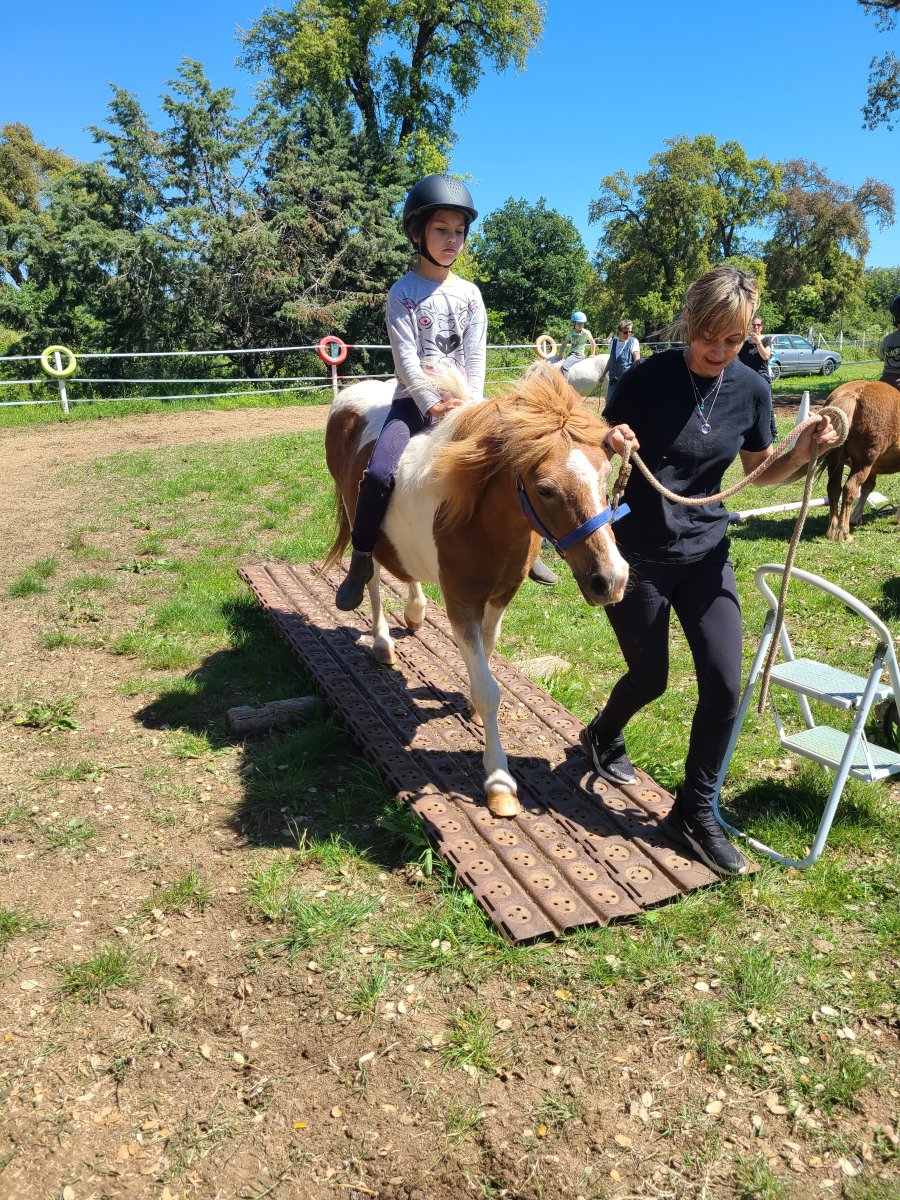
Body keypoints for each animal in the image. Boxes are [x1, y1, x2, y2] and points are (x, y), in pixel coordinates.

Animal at [324, 369, 630, 819]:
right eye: (545, 489)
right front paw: (499, 781)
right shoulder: (461, 604)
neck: (481, 516)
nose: (611, 580)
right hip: (360, 515)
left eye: (606, 474)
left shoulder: (500, 597)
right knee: (374, 579)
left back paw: (415, 612)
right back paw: (381, 641)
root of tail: (348, 395)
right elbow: (489, 692)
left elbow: (487, 655)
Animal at [816, 380, 900, 541]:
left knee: (834, 488)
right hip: (863, 462)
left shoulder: (873, 468)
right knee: (850, 488)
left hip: (836, 460)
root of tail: (854, 394)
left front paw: (856, 517)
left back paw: (833, 528)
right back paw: (843, 531)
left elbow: (868, 487)